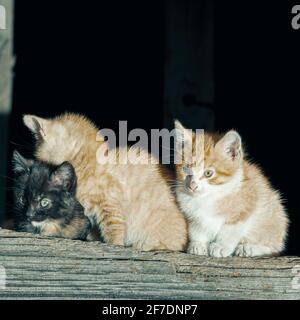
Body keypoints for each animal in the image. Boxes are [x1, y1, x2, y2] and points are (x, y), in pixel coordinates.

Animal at [22, 114, 188, 251]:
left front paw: (115, 244)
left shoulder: (109, 204)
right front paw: (94, 239)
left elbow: (113, 228)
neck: (89, 165)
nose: (35, 165)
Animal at [175, 120, 290, 258]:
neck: (209, 196)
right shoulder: (193, 215)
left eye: (208, 173)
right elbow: (198, 229)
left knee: (273, 247)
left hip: (274, 219)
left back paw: (249, 248)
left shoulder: (246, 206)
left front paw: (221, 246)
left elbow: (230, 231)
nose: (192, 185)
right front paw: (198, 244)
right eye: (186, 169)